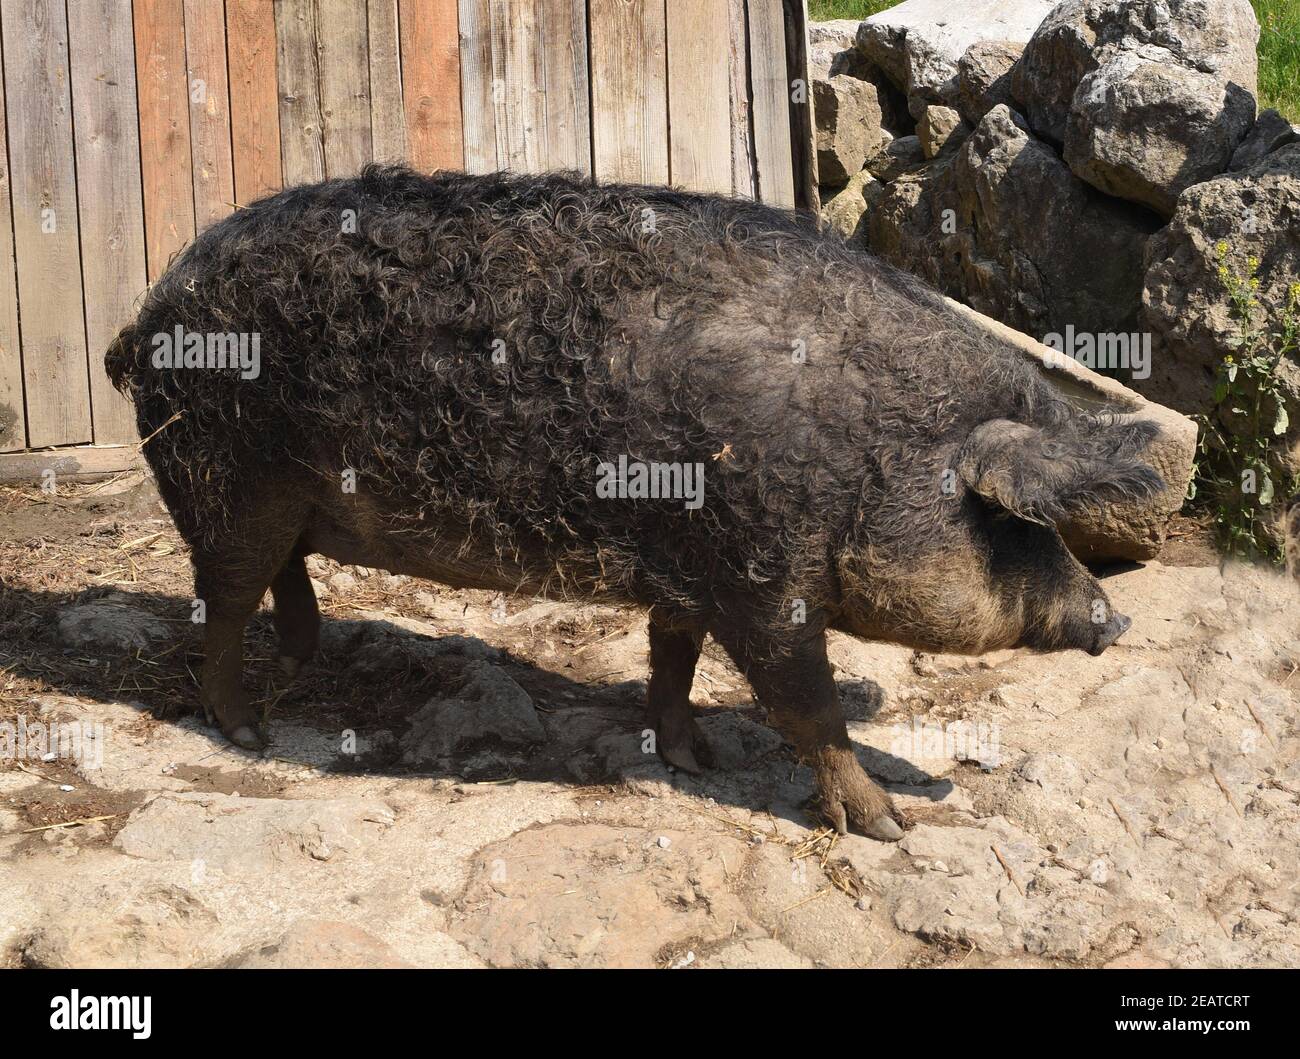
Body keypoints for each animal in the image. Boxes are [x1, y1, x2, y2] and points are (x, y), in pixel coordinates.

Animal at [109, 167, 1159, 847]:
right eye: (1011, 522)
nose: (1115, 620)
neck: (859, 451)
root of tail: (146, 314)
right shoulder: (761, 579)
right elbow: (808, 703)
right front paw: (889, 828)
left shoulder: (692, 566)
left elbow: (672, 657)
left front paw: (694, 758)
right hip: (229, 484)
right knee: (223, 603)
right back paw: (246, 730)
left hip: (276, 497)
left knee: (278, 580)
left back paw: (305, 660)